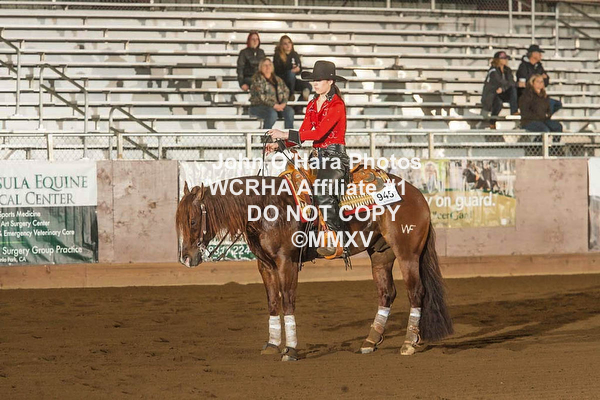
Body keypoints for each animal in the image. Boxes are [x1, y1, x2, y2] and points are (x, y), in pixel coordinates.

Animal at [176, 173, 453, 361]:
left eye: (193, 221)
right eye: (178, 221)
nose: (186, 258)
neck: (266, 207)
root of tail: (418, 196)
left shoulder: (286, 262)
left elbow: (287, 301)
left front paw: (290, 349)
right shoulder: (265, 265)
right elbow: (273, 302)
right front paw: (272, 344)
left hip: (407, 254)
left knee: (416, 292)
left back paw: (409, 342)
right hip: (381, 255)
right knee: (386, 294)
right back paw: (370, 341)